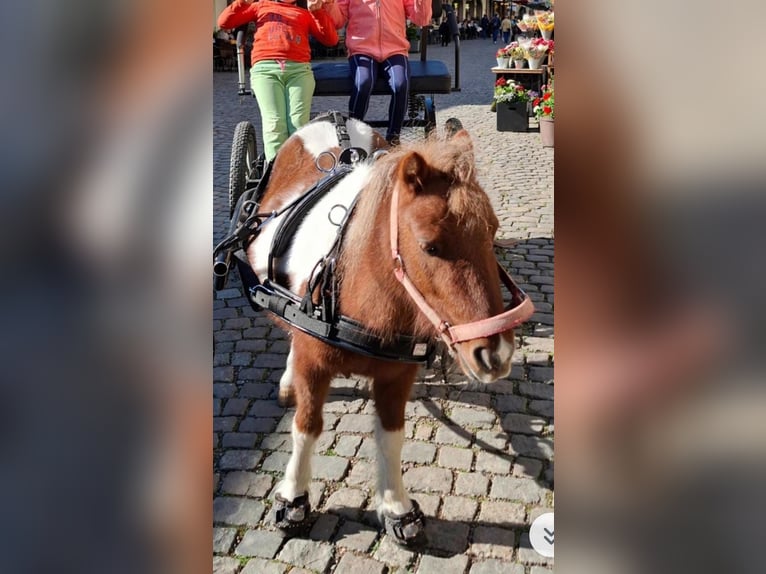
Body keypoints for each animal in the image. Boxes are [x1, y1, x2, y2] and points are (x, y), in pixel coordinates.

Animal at [243, 115, 533, 546]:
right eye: (430, 246)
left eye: (493, 233)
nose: (495, 354)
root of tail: (332, 119)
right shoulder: (314, 366)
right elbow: (306, 427)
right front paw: (293, 499)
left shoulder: (398, 375)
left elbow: (392, 435)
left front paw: (396, 506)